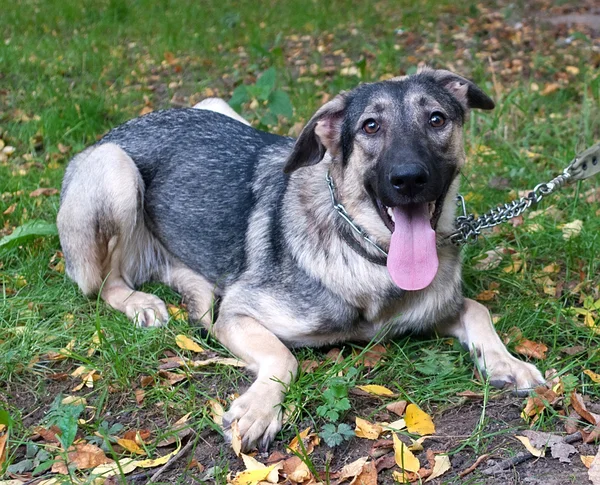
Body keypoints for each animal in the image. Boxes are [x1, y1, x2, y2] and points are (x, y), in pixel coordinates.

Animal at [58, 67, 548, 450]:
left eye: (437, 119)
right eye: (371, 127)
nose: (408, 179)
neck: (364, 253)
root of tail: (121, 128)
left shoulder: (437, 308)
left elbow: (478, 309)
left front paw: (507, 363)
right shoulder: (238, 314)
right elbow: (284, 358)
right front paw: (259, 409)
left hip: (214, 107)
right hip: (116, 171)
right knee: (104, 284)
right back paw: (141, 302)